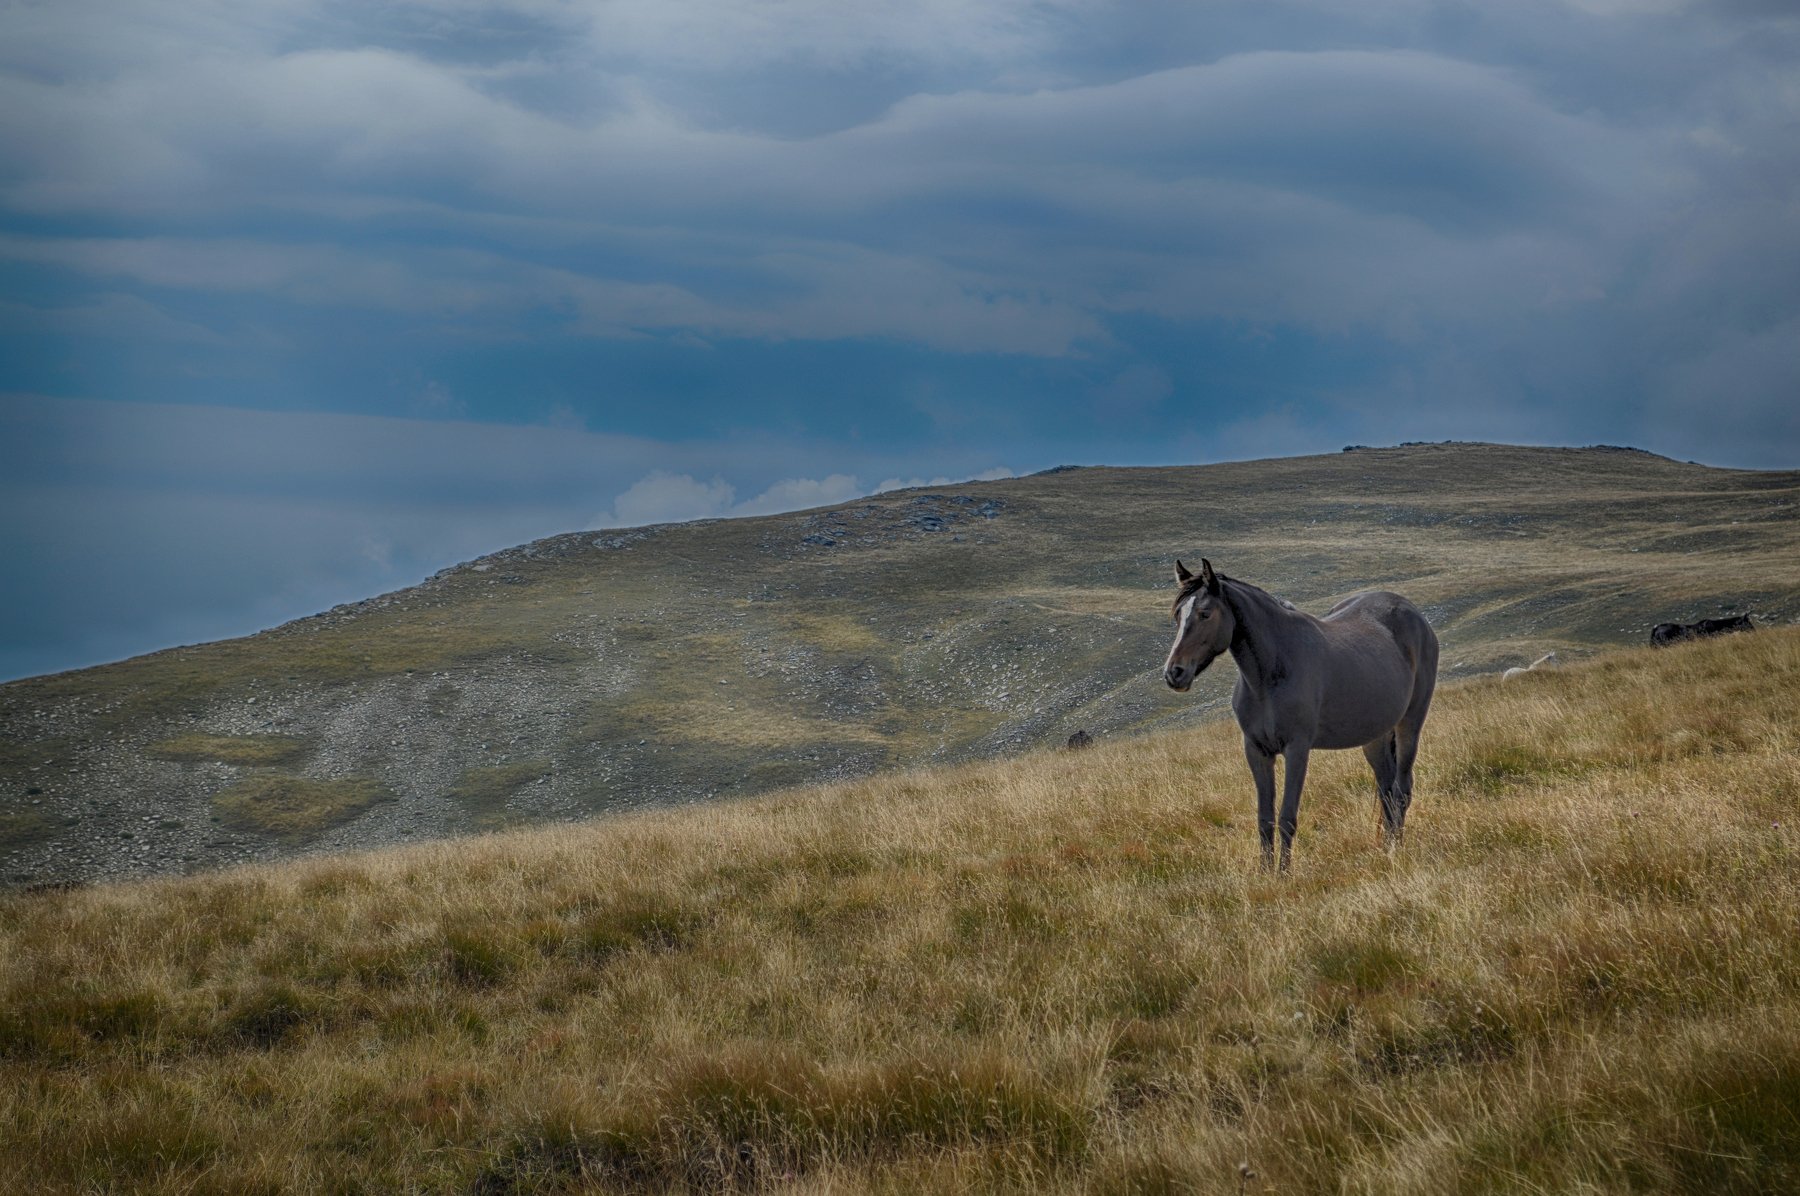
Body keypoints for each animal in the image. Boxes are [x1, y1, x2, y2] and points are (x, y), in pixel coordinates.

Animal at [1159, 561, 1440, 868]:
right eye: (1178, 615)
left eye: (1205, 613)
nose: (1174, 673)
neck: (1270, 675)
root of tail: (1415, 615)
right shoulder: (1257, 751)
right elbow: (1265, 819)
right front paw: (1265, 872)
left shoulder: (1297, 750)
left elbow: (1286, 818)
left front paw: (1283, 873)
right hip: (1375, 737)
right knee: (1387, 790)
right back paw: (1386, 847)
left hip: (1409, 725)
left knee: (1402, 791)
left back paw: (1395, 851)